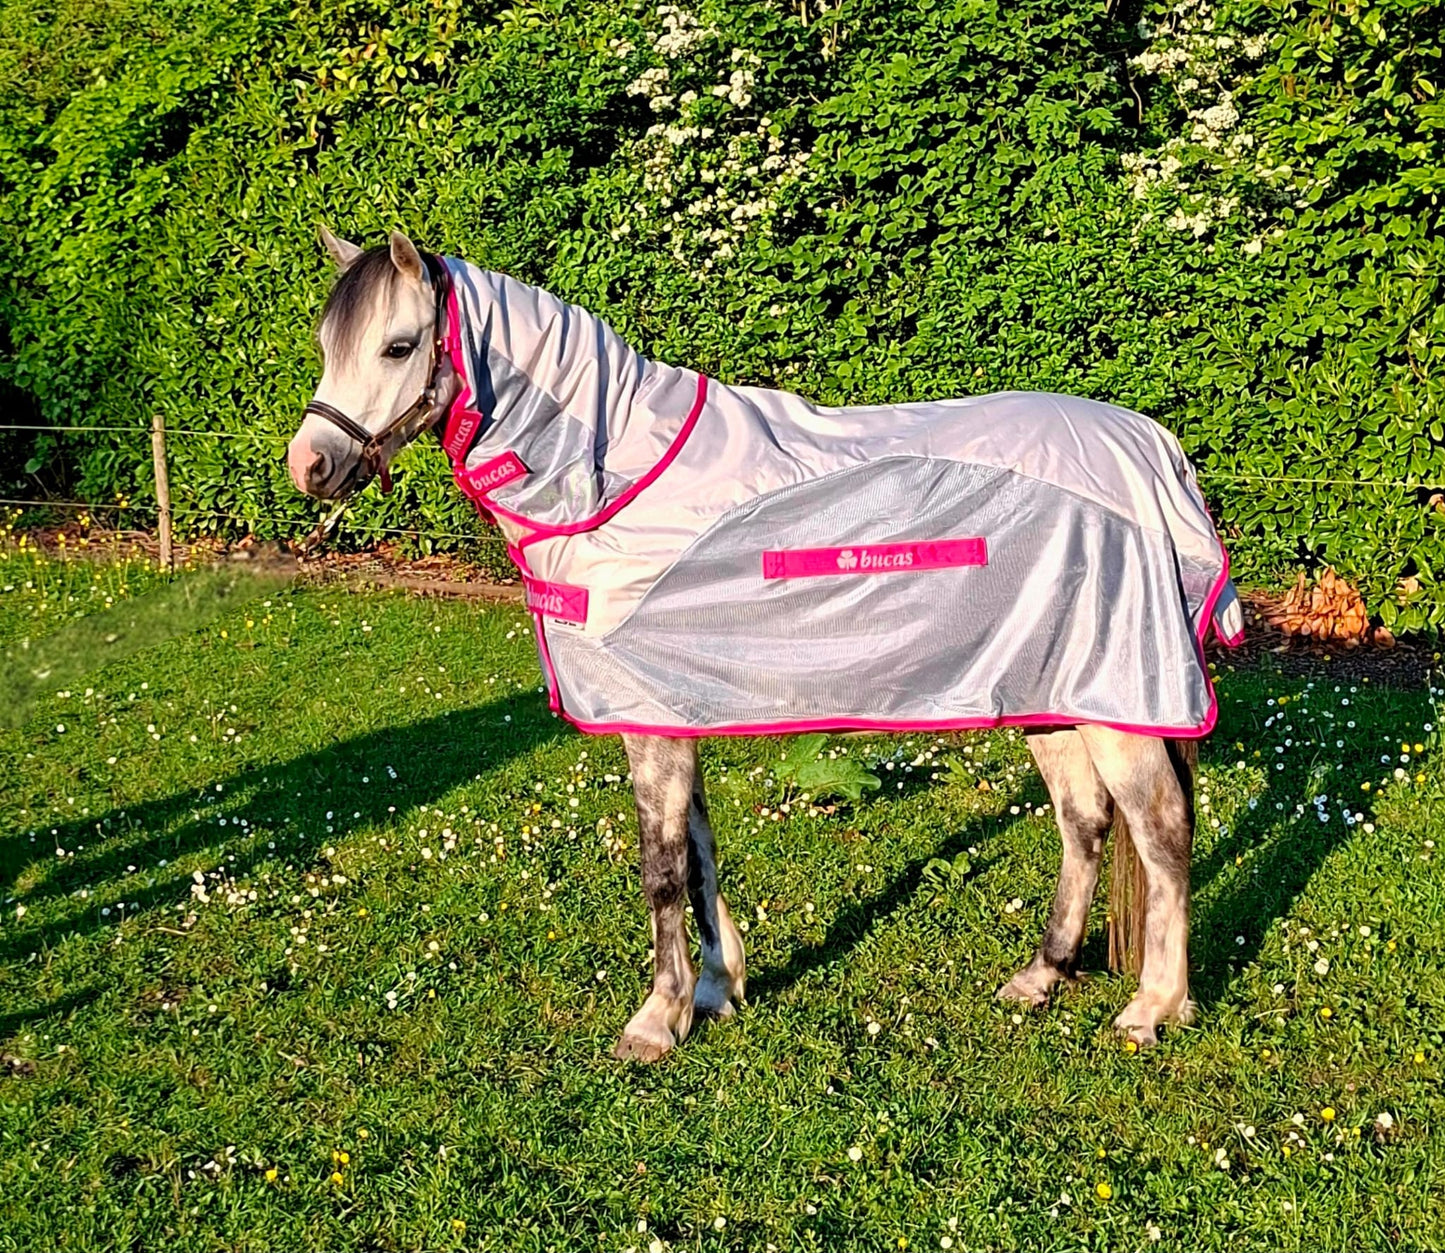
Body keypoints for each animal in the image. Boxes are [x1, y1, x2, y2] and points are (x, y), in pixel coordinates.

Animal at [287, 228, 1244, 1059]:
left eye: (398, 346)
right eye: (329, 343)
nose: (309, 466)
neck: (615, 482)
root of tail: (1155, 448)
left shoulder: (645, 720)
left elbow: (661, 868)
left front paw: (655, 1020)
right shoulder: (675, 709)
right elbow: (699, 854)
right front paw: (716, 989)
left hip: (1119, 703)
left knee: (1160, 833)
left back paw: (1151, 1007)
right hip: (1051, 691)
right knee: (1084, 821)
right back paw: (1038, 977)